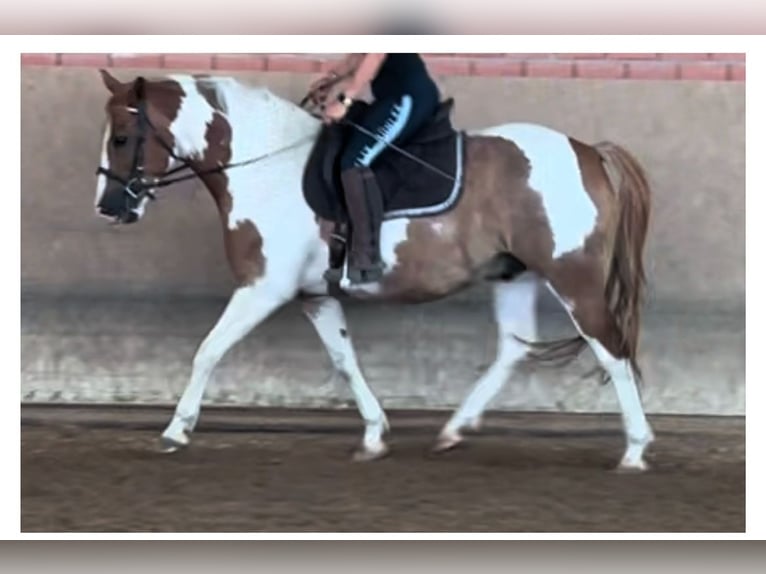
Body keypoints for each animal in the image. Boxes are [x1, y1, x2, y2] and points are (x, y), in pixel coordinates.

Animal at [93, 68, 656, 472]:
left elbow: (208, 350)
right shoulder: (314, 295)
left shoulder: (263, 288)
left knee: (611, 351)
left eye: (121, 138)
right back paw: (452, 431)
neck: (266, 168)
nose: (108, 207)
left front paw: (176, 430)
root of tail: (588, 152)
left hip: (573, 277)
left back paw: (634, 448)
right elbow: (345, 361)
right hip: (513, 274)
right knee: (514, 348)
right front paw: (373, 435)